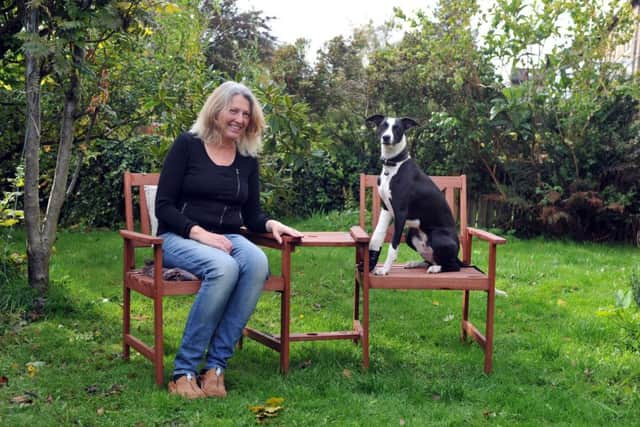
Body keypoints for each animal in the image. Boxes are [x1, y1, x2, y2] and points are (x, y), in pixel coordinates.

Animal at [364, 113, 460, 276]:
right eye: (383, 125)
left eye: (397, 128)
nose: (386, 137)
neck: (394, 165)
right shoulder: (386, 208)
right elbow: (377, 236)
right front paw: (371, 263)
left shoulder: (400, 213)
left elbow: (393, 246)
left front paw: (385, 270)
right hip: (410, 235)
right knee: (431, 259)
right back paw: (416, 263)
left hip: (438, 237)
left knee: (453, 266)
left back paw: (436, 268)